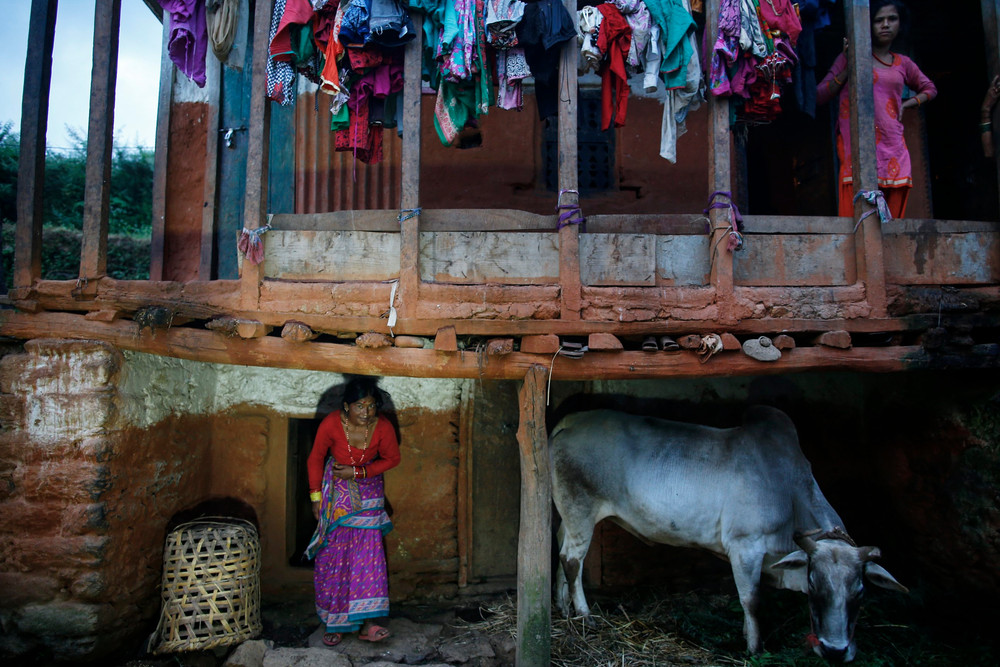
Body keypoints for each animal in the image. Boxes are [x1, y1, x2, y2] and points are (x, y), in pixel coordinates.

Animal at [552, 408, 912, 664]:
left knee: (559, 547)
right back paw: (584, 614)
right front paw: (754, 647)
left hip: (569, 514)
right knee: (572, 559)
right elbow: (751, 600)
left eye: (861, 590)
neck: (789, 489)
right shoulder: (745, 546)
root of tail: (569, 421)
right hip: (581, 510)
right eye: (813, 584)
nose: (835, 650)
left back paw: (561, 606)